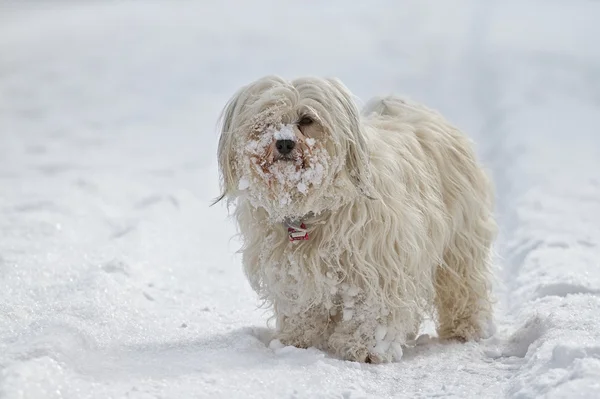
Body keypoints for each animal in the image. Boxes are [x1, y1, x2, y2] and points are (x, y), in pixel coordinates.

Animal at [216, 76, 496, 366]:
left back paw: (464, 328)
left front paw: (366, 348)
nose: (283, 143)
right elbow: (301, 307)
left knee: (463, 283)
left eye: (306, 119)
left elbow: (372, 309)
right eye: (266, 118)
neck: (312, 210)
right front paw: (298, 339)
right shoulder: (291, 269)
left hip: (460, 239)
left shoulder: (378, 263)